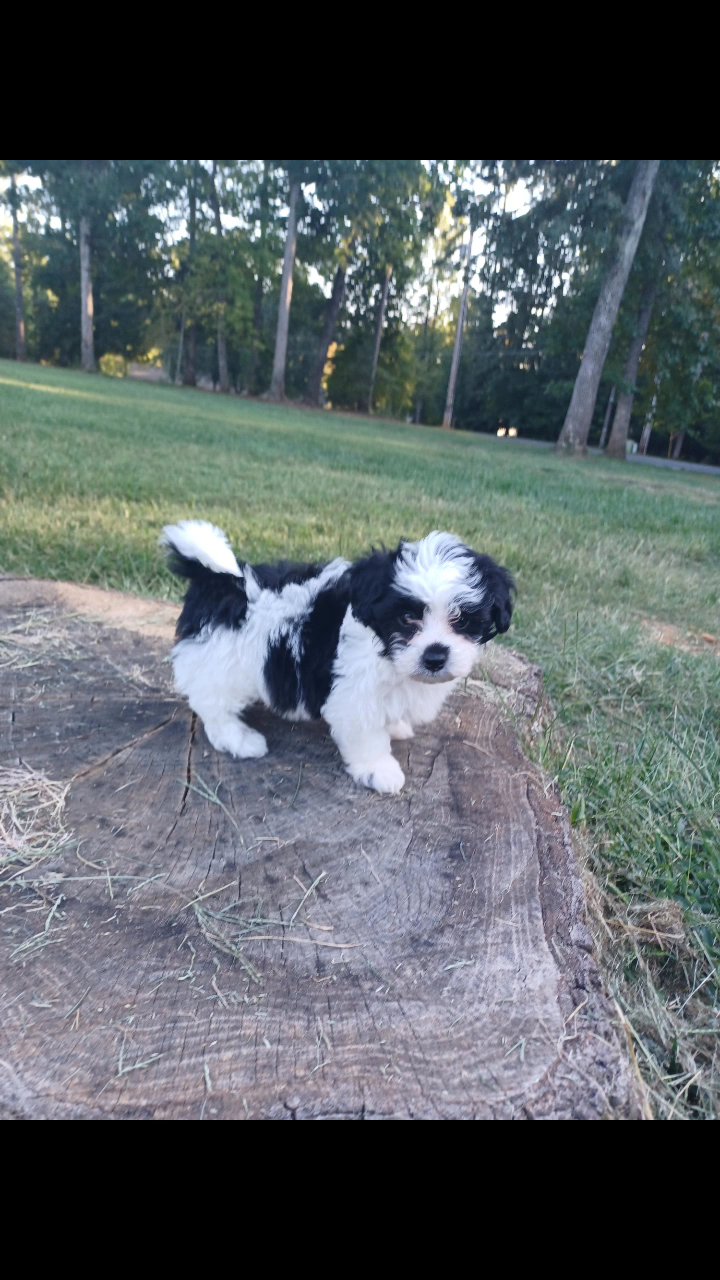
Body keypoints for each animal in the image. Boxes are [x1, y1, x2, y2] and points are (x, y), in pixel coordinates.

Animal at [160, 519, 512, 788]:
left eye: (461, 619)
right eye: (405, 618)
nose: (435, 656)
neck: (383, 648)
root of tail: (219, 579)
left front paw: (396, 726)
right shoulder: (356, 694)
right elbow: (367, 734)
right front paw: (379, 770)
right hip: (223, 661)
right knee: (213, 703)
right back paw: (239, 739)